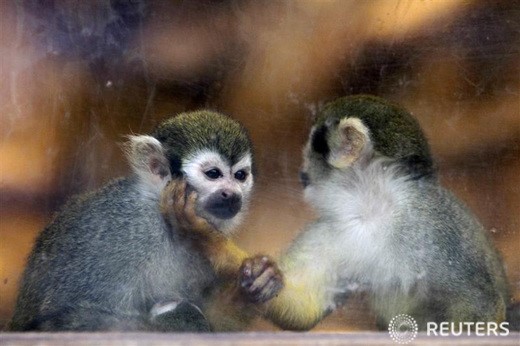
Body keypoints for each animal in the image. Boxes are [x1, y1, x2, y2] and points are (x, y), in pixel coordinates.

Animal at [8, 109, 282, 332]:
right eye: (213, 174)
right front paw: (180, 320)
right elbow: (57, 318)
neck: (165, 223)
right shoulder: (123, 235)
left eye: (240, 176)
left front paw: (256, 285)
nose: (232, 194)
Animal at [178, 96, 508, 332]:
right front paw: (212, 243)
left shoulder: (432, 226)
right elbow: (301, 305)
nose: (302, 174)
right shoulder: (337, 229)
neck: (377, 208)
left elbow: (480, 304)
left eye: (313, 149)